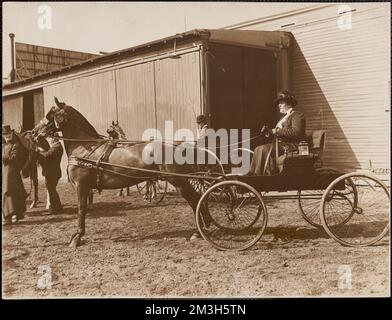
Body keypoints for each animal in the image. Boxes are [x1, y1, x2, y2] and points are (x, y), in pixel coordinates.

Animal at [33, 97, 210, 248]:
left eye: (50, 114)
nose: (34, 132)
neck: (84, 148)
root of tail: (177, 146)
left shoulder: (81, 186)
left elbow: (81, 210)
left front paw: (77, 237)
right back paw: (205, 226)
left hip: (178, 180)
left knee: (195, 200)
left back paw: (198, 231)